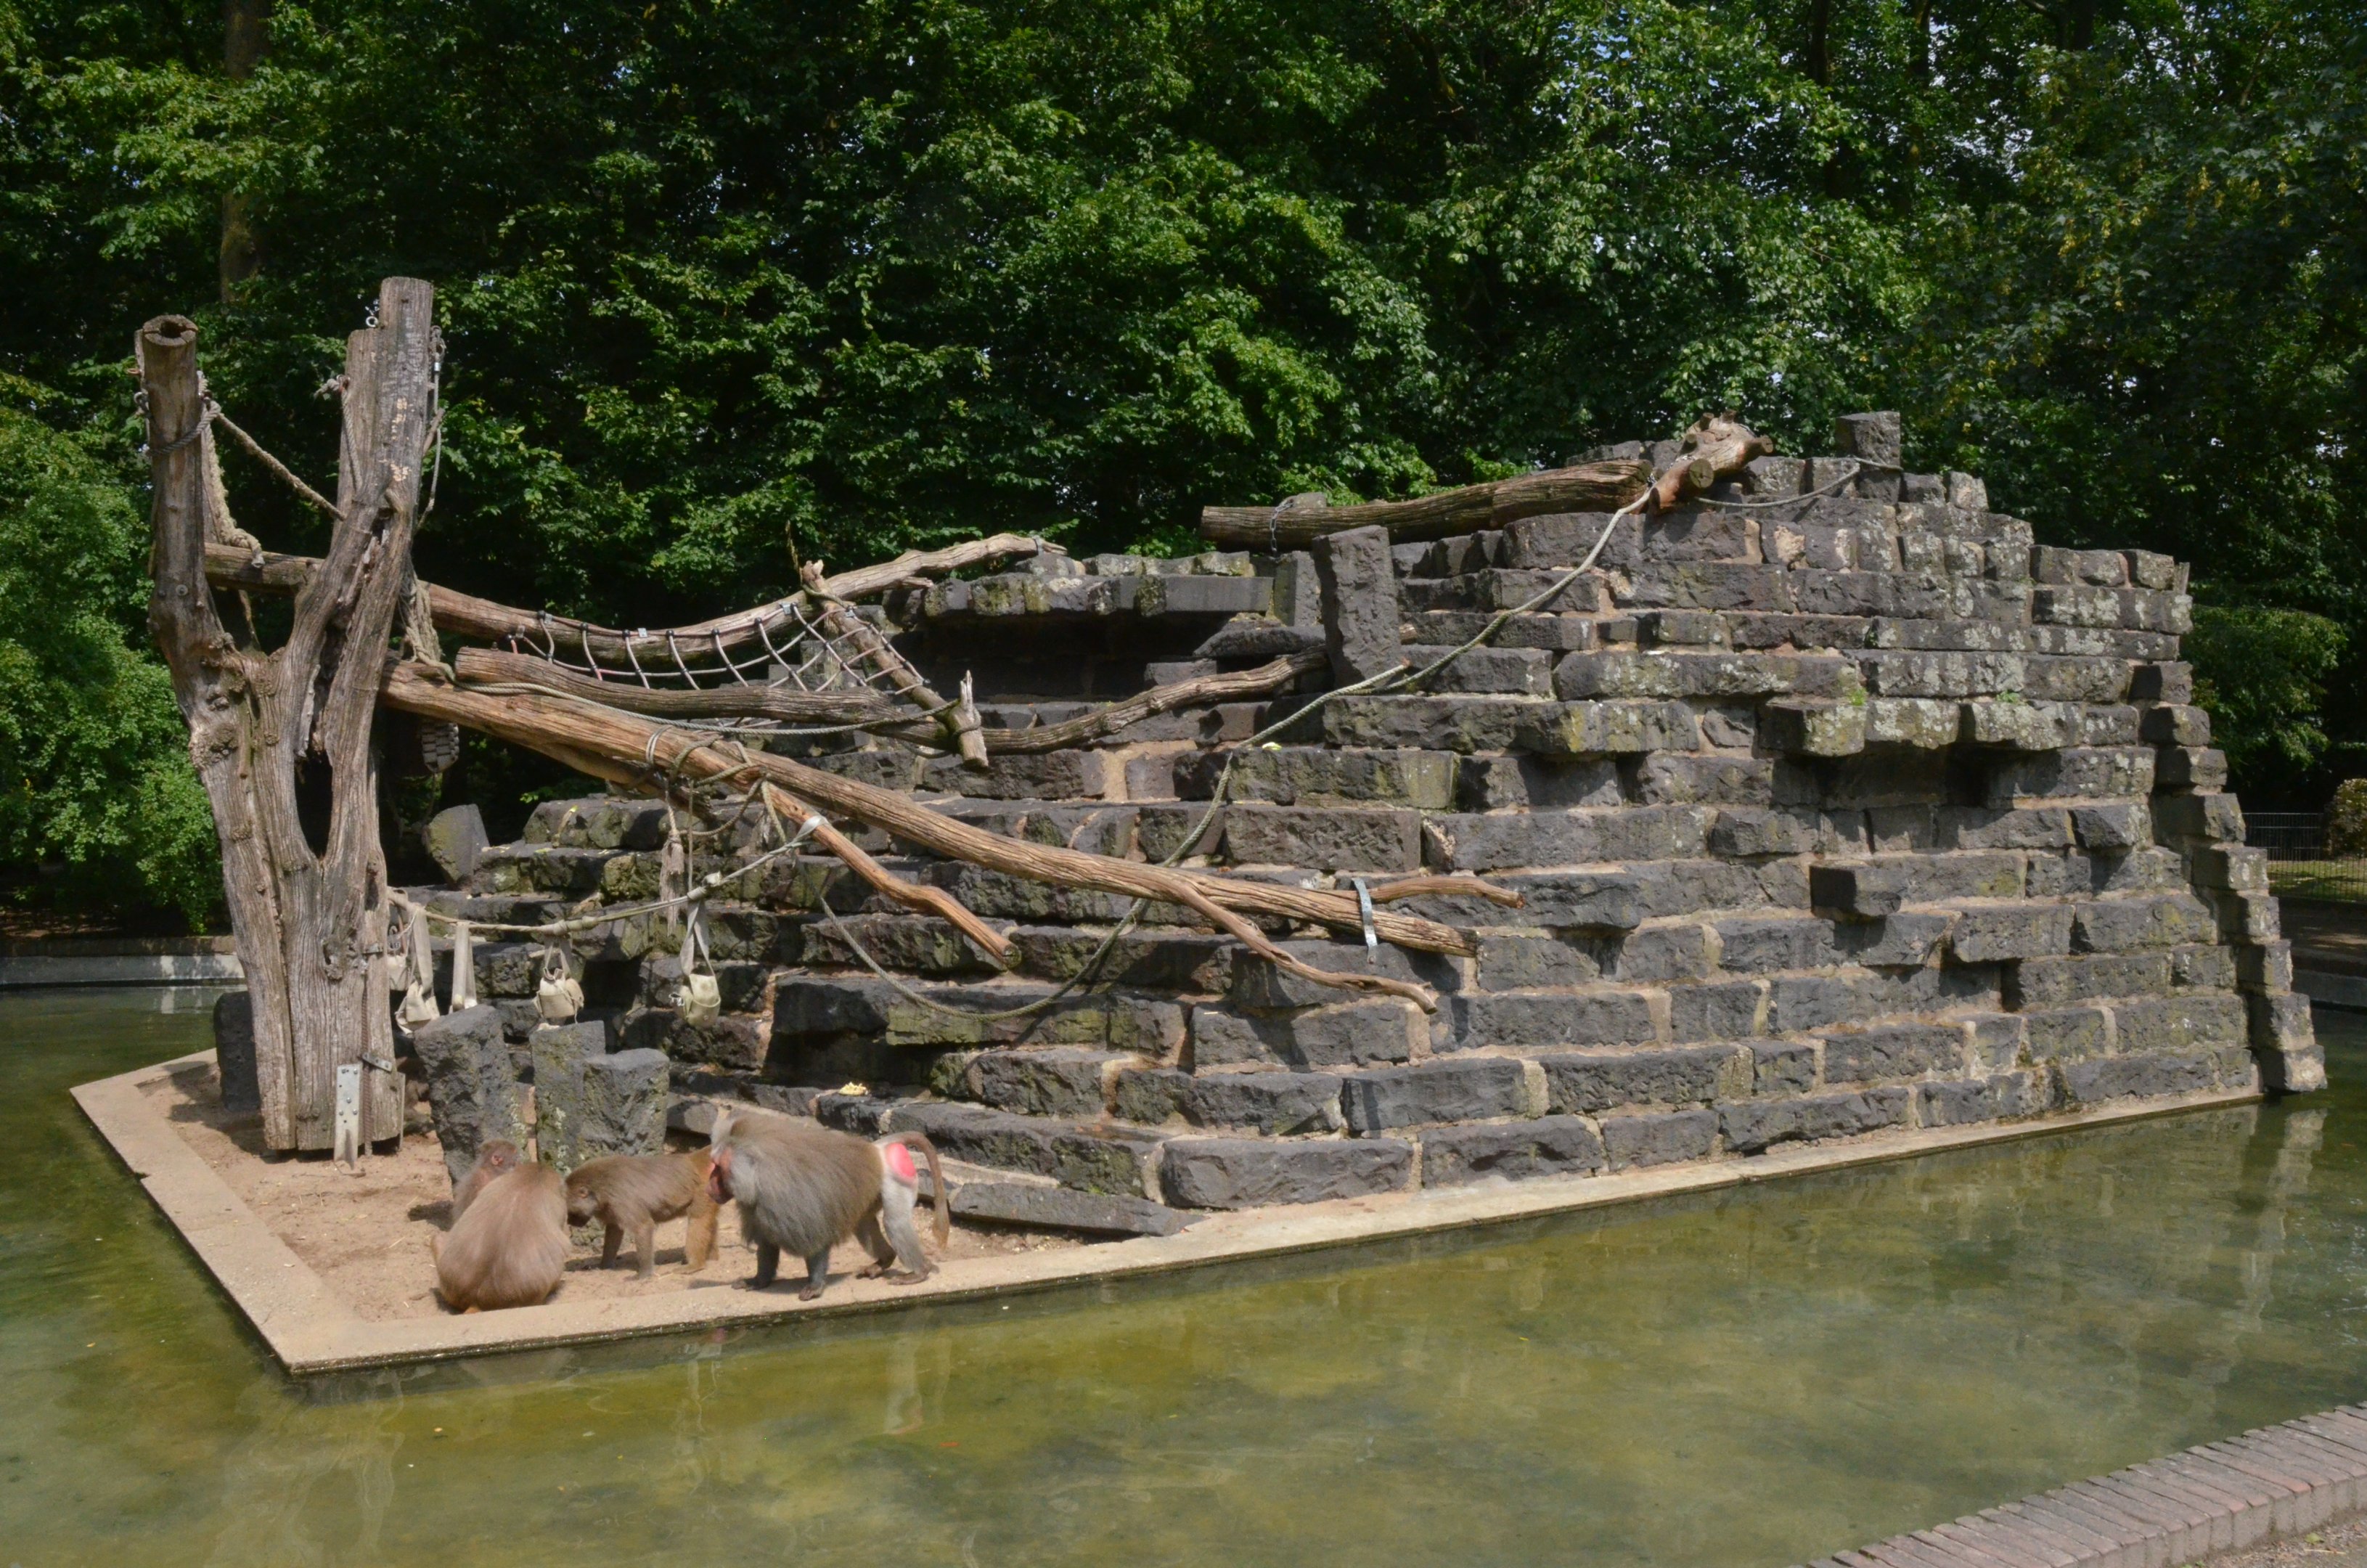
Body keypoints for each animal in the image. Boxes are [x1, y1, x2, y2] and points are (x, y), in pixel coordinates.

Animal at [563, 1152, 719, 1280]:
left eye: (570, 1212)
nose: (570, 1222)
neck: (600, 1187)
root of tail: (693, 1160)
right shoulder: (612, 1208)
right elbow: (614, 1230)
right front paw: (604, 1266)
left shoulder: (622, 1200)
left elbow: (643, 1227)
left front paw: (643, 1274)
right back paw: (711, 1257)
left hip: (703, 1191)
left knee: (697, 1220)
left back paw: (695, 1265)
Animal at [706, 1111, 949, 1301]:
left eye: (719, 1168)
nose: (708, 1186)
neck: (756, 1173)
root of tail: (879, 1148)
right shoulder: (759, 1207)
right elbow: (767, 1243)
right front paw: (757, 1281)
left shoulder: (793, 1202)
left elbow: (815, 1241)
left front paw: (814, 1286)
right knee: (864, 1225)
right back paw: (882, 1262)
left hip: (897, 1177)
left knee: (894, 1222)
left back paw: (920, 1272)